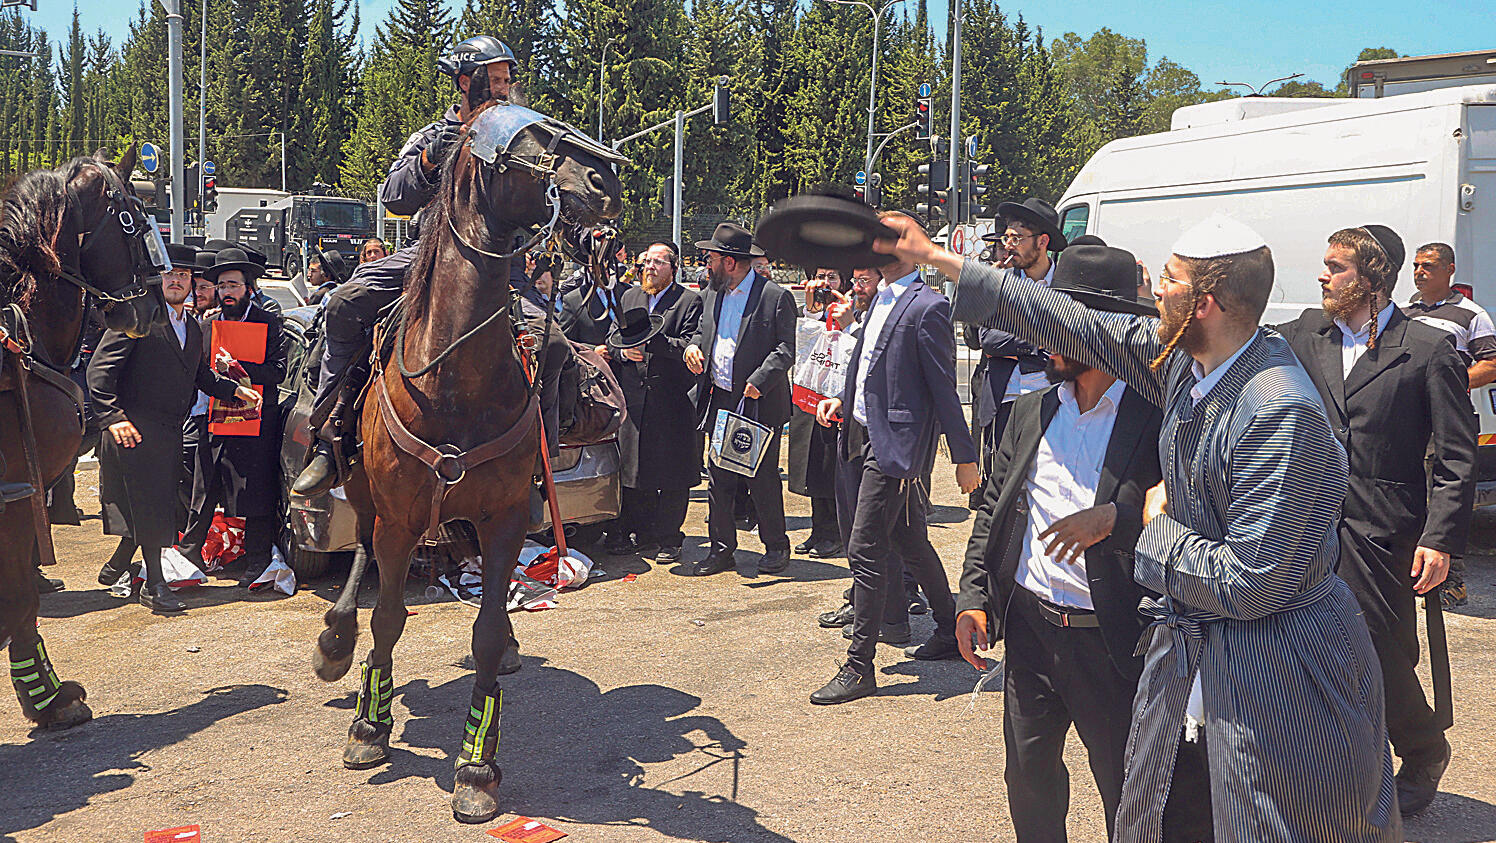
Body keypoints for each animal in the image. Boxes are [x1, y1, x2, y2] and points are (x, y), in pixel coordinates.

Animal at [312, 105, 622, 825]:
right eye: (528, 140)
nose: (604, 180)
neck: (452, 378)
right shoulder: (400, 517)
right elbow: (389, 617)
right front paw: (369, 724)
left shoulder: (503, 516)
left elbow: (483, 632)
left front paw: (477, 766)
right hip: (364, 493)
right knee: (360, 551)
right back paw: (336, 640)